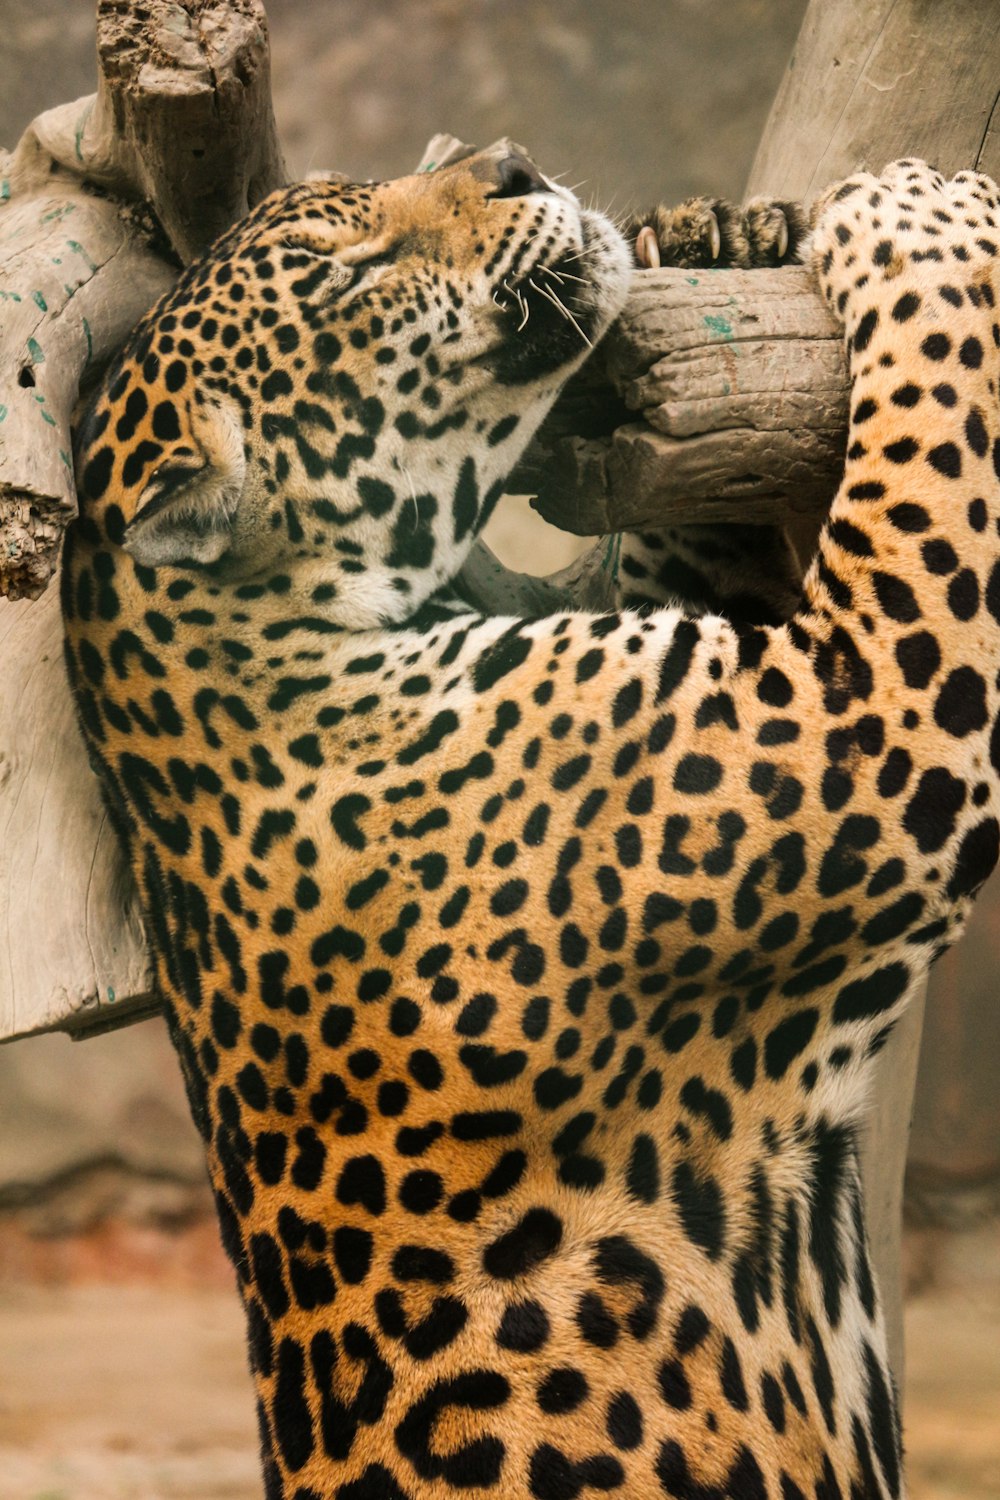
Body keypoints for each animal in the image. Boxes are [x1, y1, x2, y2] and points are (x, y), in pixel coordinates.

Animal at [60, 143, 1000, 1500]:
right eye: (349, 272)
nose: (507, 161)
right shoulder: (863, 714)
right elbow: (928, 438)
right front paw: (921, 214)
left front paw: (713, 231)